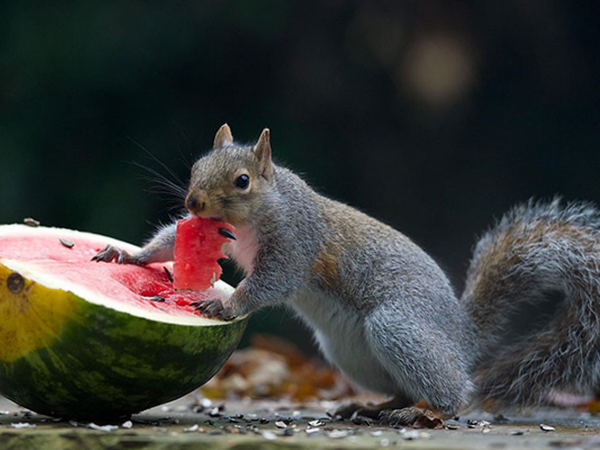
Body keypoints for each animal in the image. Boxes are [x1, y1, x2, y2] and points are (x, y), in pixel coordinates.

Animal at [92, 124, 600, 426]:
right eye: (197, 167)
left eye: (242, 181)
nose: (193, 202)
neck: (263, 211)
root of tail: (462, 334)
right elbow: (166, 244)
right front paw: (130, 256)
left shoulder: (295, 245)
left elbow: (269, 283)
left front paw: (222, 302)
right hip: (349, 354)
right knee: (401, 389)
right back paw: (373, 406)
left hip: (399, 328)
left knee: (454, 391)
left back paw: (424, 411)